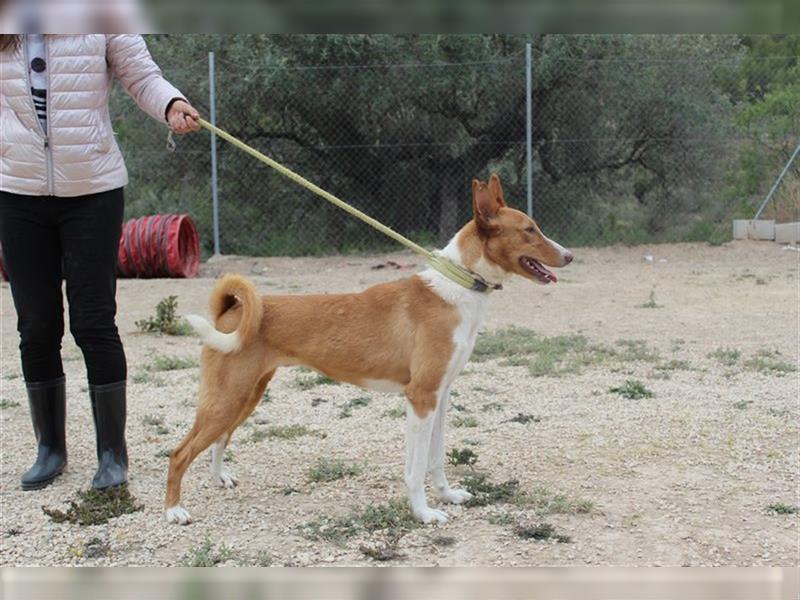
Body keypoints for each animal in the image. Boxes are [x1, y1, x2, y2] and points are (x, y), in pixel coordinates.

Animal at [166, 173, 572, 524]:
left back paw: (219, 478)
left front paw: (447, 496)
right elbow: (415, 468)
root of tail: (232, 309)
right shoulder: (421, 397)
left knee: (219, 440)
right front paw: (423, 513)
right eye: (529, 230)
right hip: (226, 398)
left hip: (246, 395)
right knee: (179, 452)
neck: (456, 287)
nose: (568, 255)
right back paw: (174, 511)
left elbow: (436, 459)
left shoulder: (440, 396)